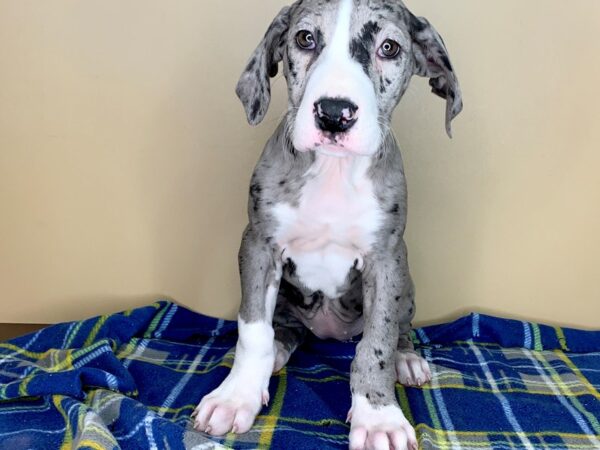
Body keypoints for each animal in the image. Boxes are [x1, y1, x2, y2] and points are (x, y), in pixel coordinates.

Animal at [192, 1, 460, 448]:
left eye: (389, 47)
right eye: (305, 38)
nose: (334, 114)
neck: (334, 173)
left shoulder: (386, 260)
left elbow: (378, 342)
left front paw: (378, 418)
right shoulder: (257, 245)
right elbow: (253, 331)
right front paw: (236, 396)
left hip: (407, 283)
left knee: (400, 330)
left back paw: (407, 360)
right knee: (282, 330)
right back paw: (277, 354)